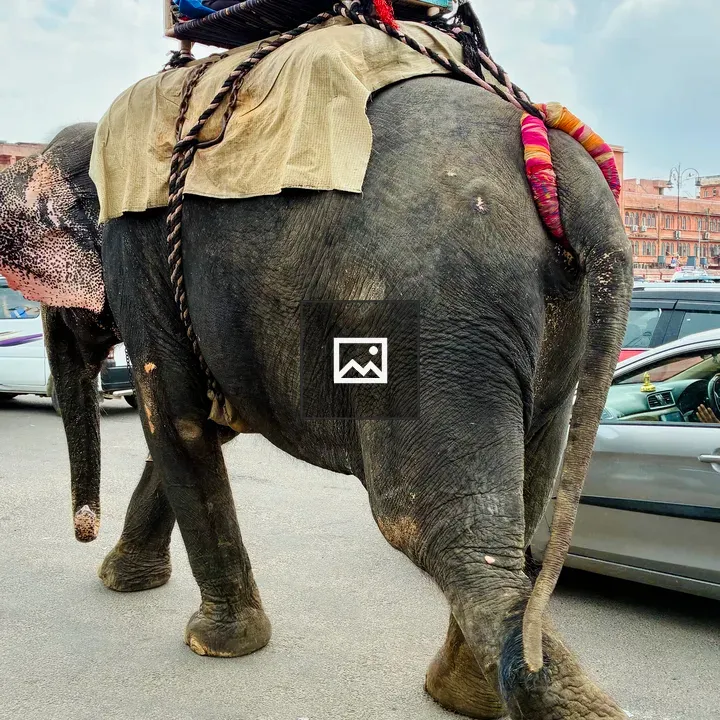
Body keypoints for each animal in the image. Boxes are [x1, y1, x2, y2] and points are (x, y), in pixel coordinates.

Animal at [0, 75, 632, 719]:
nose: (84, 530)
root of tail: (564, 169)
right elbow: (205, 422)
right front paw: (125, 582)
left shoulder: (138, 254)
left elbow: (176, 419)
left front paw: (214, 642)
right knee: (522, 498)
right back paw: (461, 693)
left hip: (434, 319)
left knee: (430, 525)